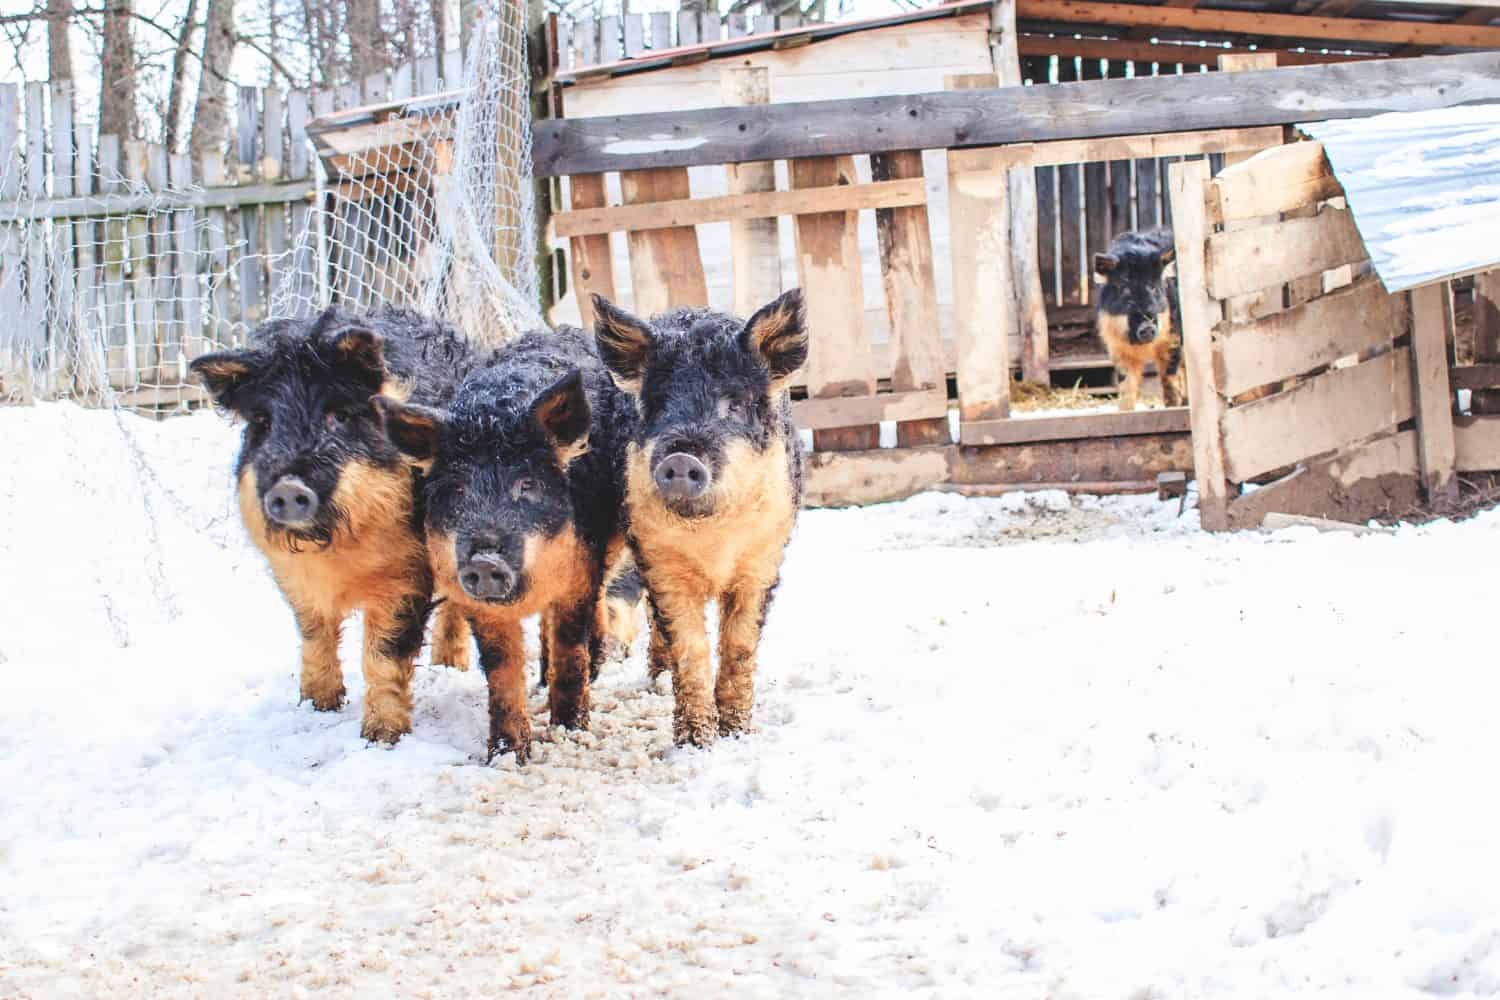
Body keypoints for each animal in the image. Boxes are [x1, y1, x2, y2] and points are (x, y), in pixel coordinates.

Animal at [189, 306, 477, 743]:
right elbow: (313, 633)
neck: (334, 544)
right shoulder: (291, 574)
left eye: (339, 415)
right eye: (263, 422)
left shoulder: (408, 571)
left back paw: (451, 666)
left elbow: (383, 653)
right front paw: (316, 705)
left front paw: (382, 736)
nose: (289, 487)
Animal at [374, 327, 635, 764]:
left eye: (526, 484)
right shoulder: (471, 596)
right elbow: (501, 666)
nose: (484, 560)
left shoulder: (580, 568)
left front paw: (569, 729)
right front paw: (506, 754)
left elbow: (570, 647)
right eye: (457, 489)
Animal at [591, 289, 808, 748]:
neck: (713, 539)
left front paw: (737, 733)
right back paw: (655, 680)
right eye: (657, 404)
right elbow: (689, 648)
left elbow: (740, 648)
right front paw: (695, 741)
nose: (680, 459)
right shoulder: (660, 562)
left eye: (735, 403)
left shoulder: (763, 562)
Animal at [1093, 228, 1185, 412]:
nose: (1147, 325)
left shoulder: (1173, 339)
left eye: (1154, 288)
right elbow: (1126, 387)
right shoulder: (1118, 350)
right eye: (1125, 289)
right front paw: (1124, 411)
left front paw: (1173, 407)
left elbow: (1169, 379)